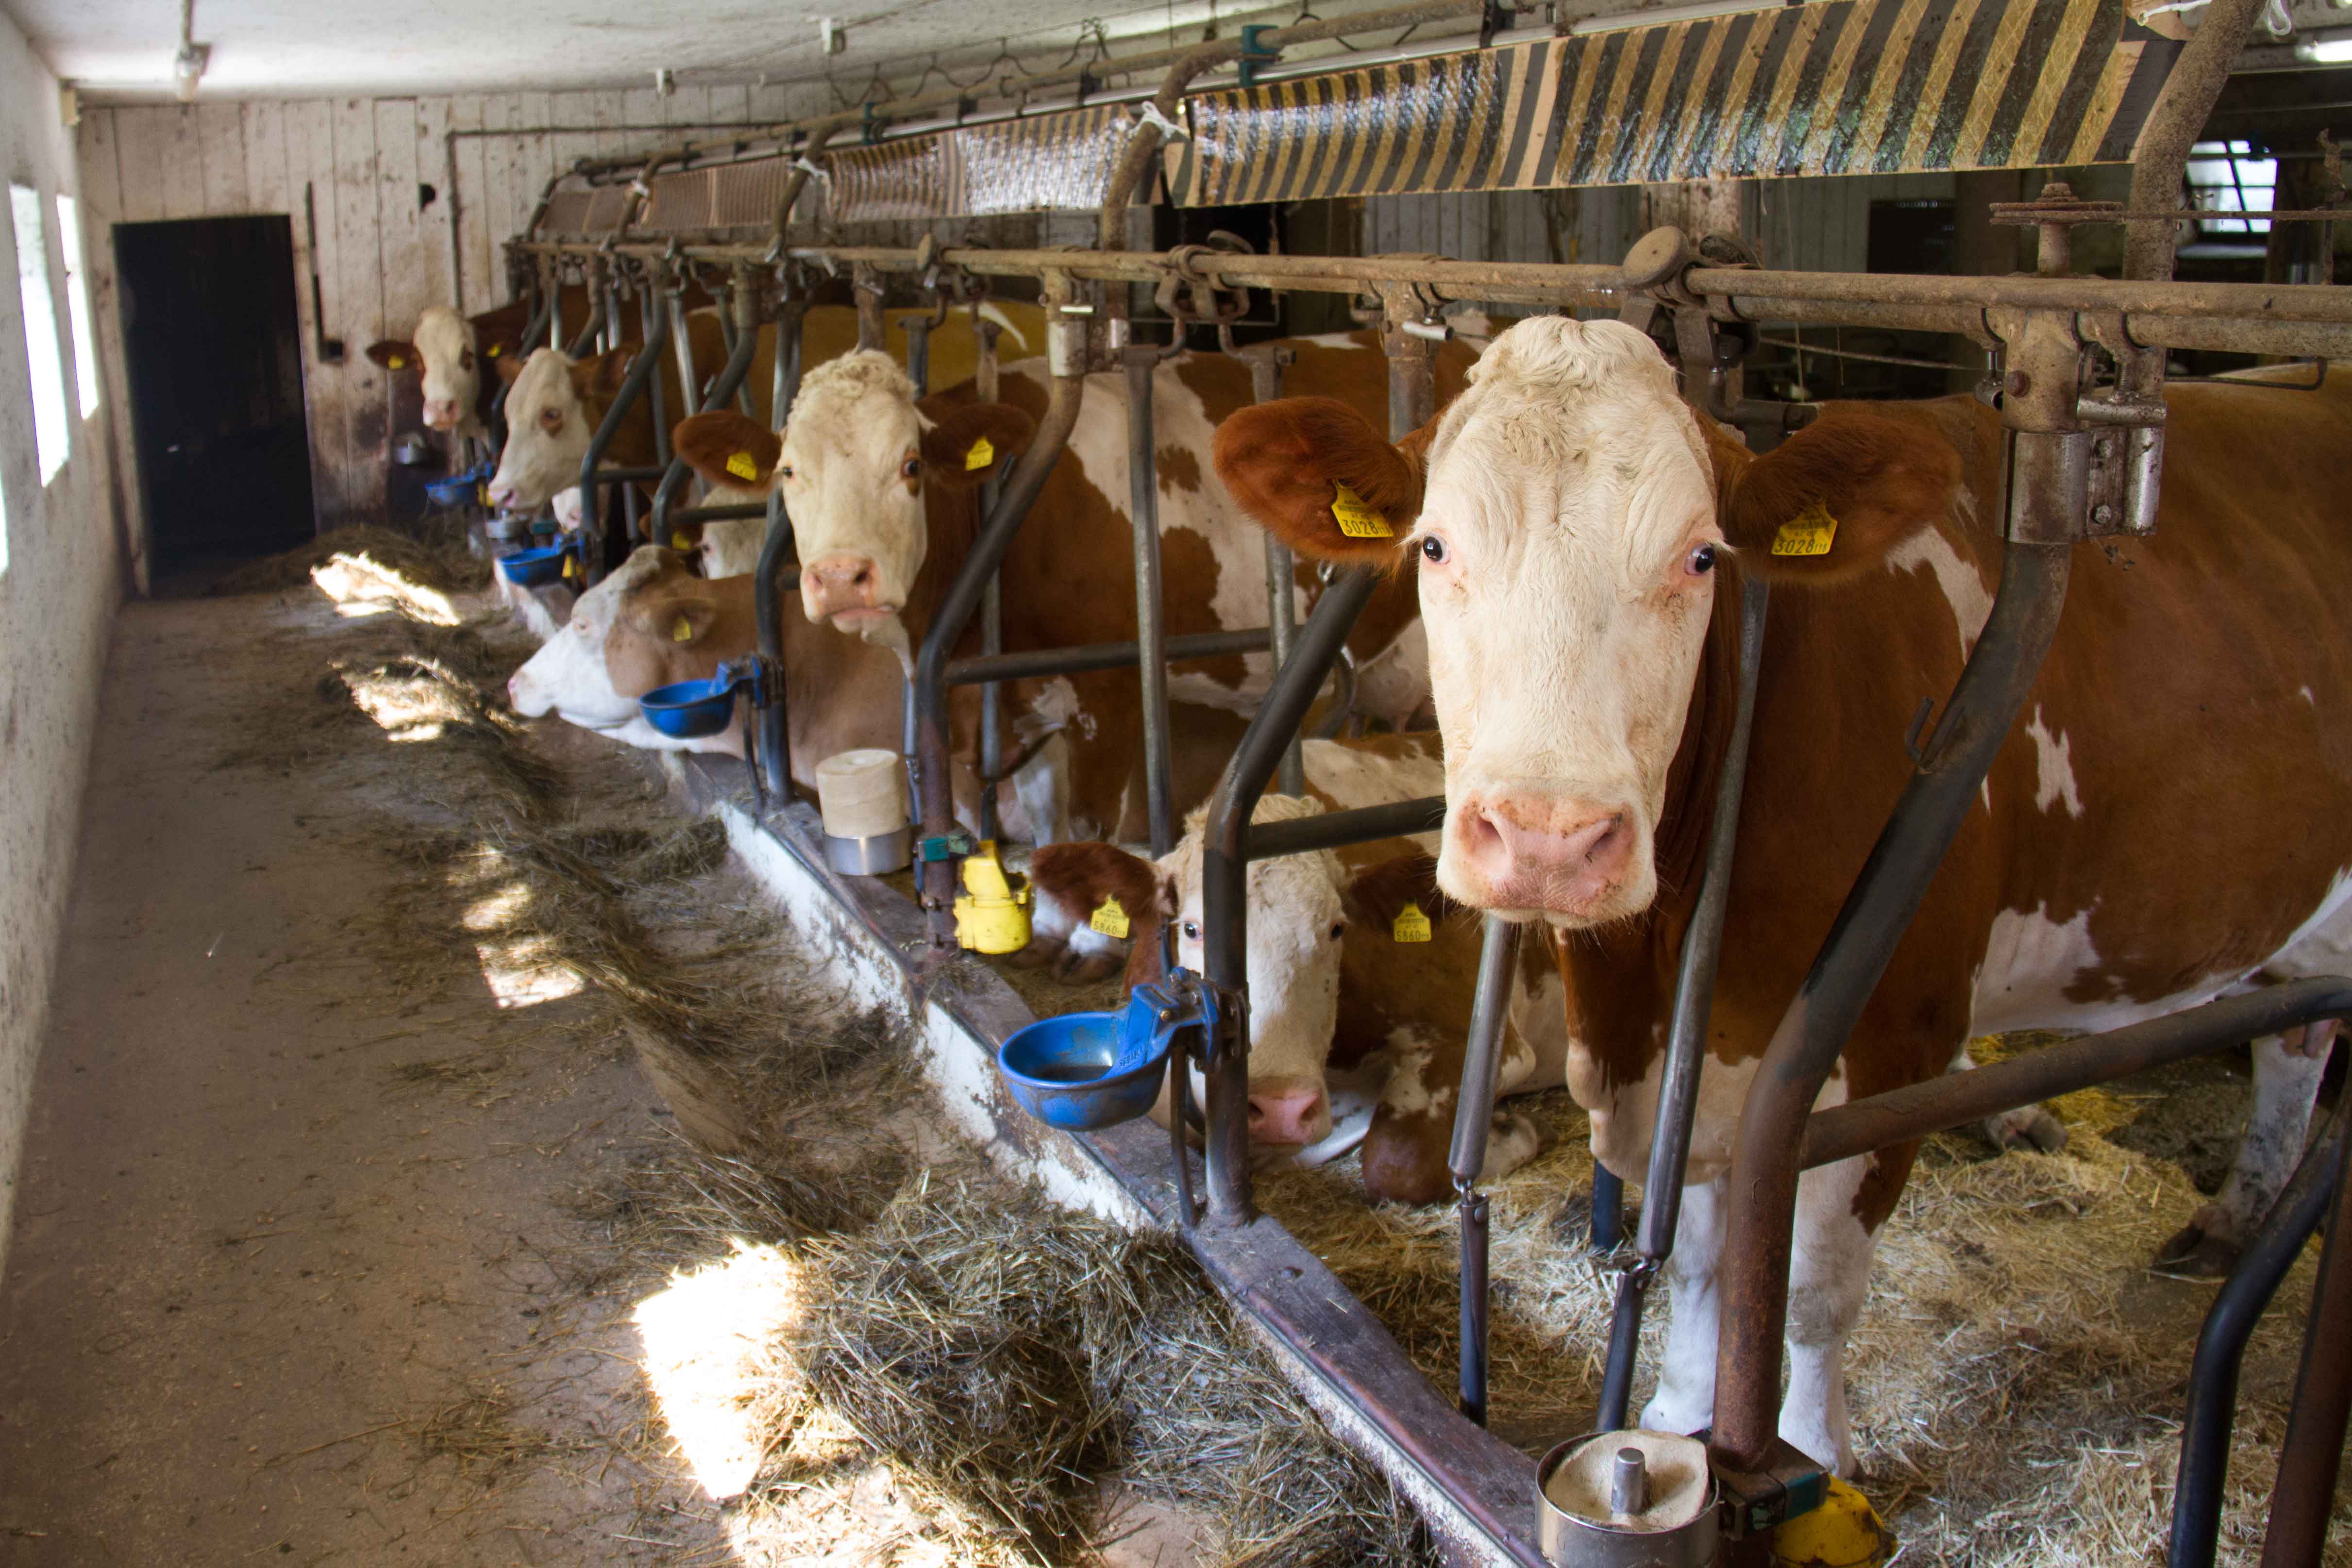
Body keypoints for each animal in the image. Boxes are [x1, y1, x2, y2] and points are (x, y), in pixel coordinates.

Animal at [1025, 733, 1564, 1202]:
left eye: (1337, 928)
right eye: (1192, 929)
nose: (1281, 1109)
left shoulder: (1486, 1042)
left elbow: (1396, 1163)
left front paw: (1513, 1133)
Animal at [1211, 317, 2352, 1476]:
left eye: (1700, 556)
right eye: (1435, 547)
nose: (1548, 839)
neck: (1653, 972)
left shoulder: (1887, 1042)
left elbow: (1804, 1286)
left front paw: (1805, 1448)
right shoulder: (1703, 1046)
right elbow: (1703, 1257)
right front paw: (1673, 1416)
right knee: (2294, 1036)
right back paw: (2233, 1216)